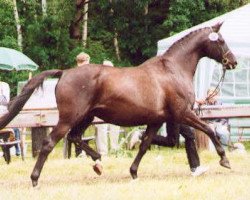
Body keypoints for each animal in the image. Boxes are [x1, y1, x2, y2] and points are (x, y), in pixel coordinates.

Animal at [0, 21, 236, 186]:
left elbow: (146, 144)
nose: (233, 62)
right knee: (50, 143)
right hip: (69, 118)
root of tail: (64, 73)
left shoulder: (158, 119)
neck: (173, 70)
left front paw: (133, 172)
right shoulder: (184, 113)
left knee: (75, 137)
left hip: (86, 117)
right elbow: (209, 129)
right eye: (221, 41)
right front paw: (225, 160)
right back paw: (35, 179)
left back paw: (98, 162)